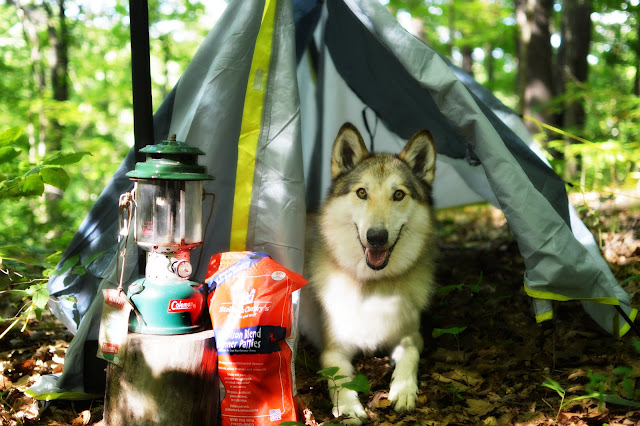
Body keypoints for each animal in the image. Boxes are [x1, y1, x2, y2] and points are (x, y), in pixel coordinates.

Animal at [302, 122, 440, 422]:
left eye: (398, 194)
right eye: (362, 193)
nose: (376, 237)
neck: (374, 285)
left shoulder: (411, 336)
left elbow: (409, 354)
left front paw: (403, 390)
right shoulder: (333, 351)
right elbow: (340, 379)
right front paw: (349, 408)